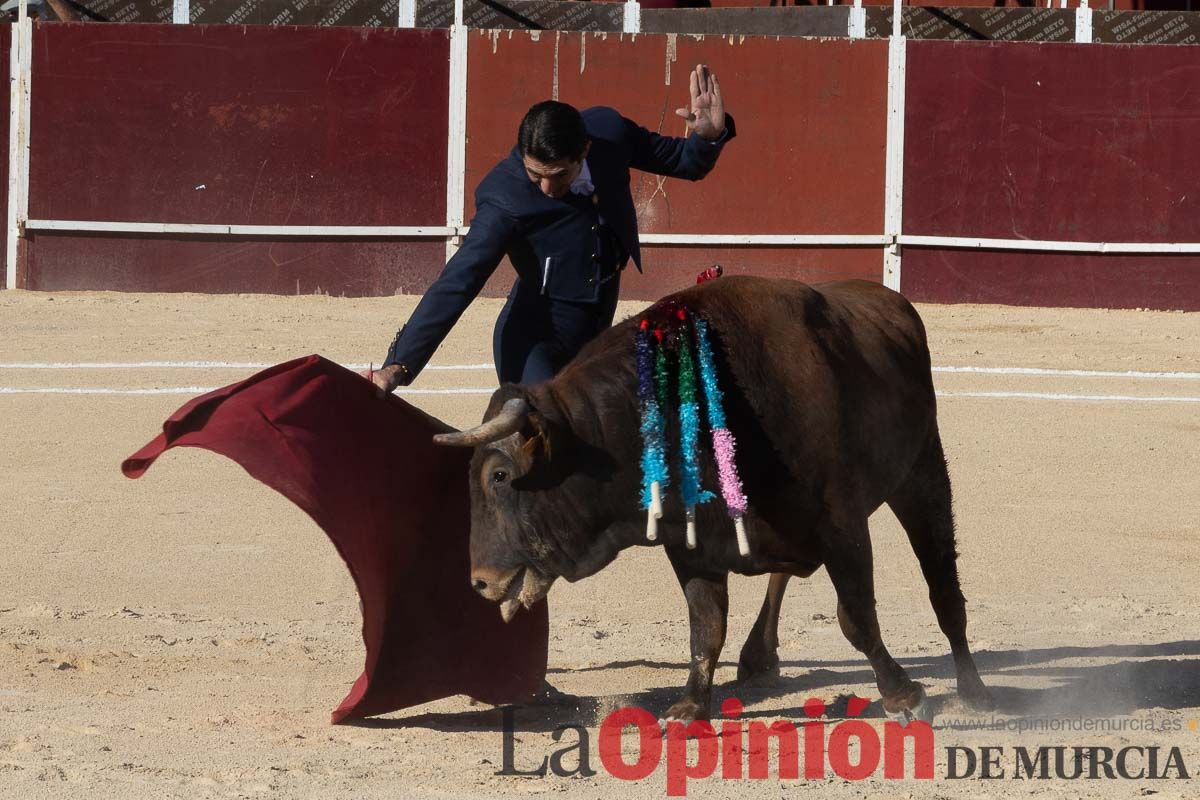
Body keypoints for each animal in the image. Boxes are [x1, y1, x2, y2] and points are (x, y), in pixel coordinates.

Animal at [436, 278, 988, 724]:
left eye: (499, 475)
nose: (480, 581)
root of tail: (889, 299)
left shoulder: (842, 526)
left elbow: (855, 616)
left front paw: (902, 696)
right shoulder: (691, 545)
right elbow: (706, 626)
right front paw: (689, 706)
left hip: (922, 470)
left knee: (942, 582)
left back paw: (973, 688)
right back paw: (758, 656)